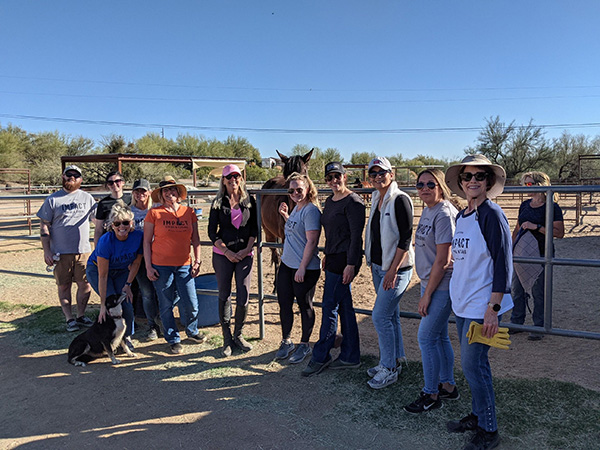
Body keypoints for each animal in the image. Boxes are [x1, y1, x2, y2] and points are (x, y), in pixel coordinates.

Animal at [258, 148, 312, 288]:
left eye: (305, 171)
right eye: (286, 173)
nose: (295, 189)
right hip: (269, 233)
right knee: (276, 256)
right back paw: (275, 286)